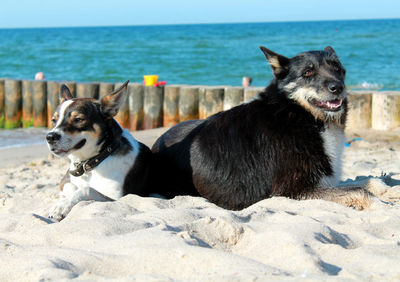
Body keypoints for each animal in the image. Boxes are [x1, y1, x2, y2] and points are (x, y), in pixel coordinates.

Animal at [46, 81, 152, 220]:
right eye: (54, 120)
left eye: (78, 119)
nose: (49, 137)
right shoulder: (65, 182)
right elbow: (73, 187)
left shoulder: (117, 199)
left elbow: (87, 189)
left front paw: (62, 206)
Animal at [152, 45, 376, 209]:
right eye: (308, 72)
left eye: (337, 68)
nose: (338, 87)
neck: (298, 115)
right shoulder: (292, 191)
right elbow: (362, 192)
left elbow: (370, 183)